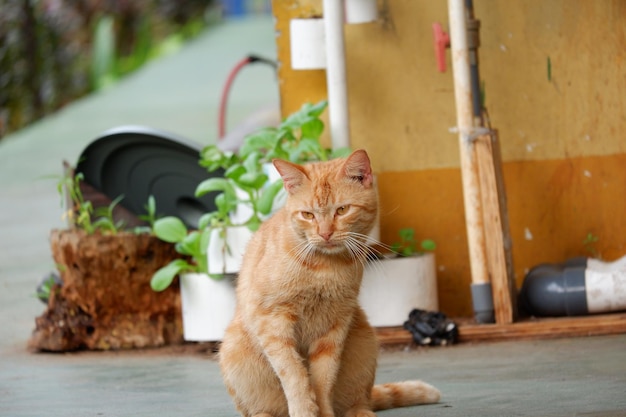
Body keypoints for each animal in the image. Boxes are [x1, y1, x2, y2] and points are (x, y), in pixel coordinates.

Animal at [219, 150, 438, 416]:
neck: (324, 268)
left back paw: (360, 412)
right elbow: (293, 372)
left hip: (365, 342)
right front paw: (304, 410)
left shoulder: (334, 326)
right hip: (235, 353)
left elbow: (324, 379)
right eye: (308, 215)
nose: (324, 233)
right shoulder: (272, 320)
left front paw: (322, 411)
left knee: (358, 400)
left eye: (342, 210)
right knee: (257, 409)